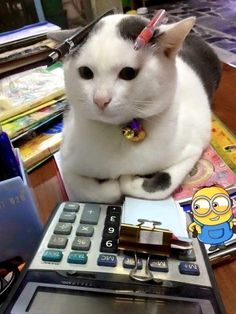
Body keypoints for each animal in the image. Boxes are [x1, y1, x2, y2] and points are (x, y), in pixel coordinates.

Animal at [51, 13, 221, 202]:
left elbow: (160, 185)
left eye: (128, 73)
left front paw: (128, 179)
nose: (100, 99)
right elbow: (95, 191)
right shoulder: (67, 164)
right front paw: (111, 184)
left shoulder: (192, 149)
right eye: (86, 72)